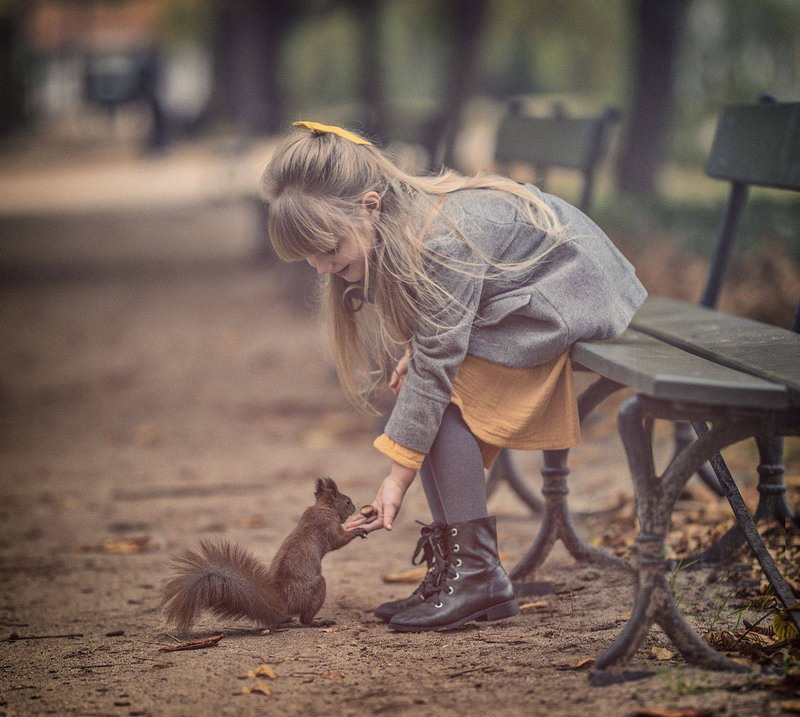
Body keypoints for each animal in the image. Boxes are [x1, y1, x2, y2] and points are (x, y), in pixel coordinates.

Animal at [160, 478, 372, 628]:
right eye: (347, 501)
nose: (355, 507)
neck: (323, 507)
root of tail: (282, 603)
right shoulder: (328, 526)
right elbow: (338, 541)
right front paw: (357, 530)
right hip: (317, 588)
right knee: (304, 619)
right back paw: (318, 622)